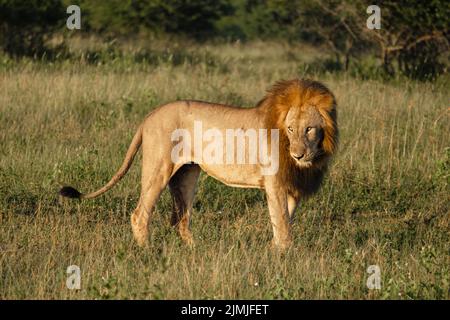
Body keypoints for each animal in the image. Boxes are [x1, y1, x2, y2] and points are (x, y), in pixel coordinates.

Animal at [61, 79, 340, 249]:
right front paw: (283, 256)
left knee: (180, 219)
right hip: (158, 169)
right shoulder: (274, 183)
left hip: (185, 175)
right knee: (140, 214)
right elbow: (282, 224)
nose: (298, 155)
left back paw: (194, 250)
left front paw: (276, 252)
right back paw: (147, 251)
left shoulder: (291, 187)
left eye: (309, 129)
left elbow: (285, 221)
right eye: (291, 129)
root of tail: (150, 115)